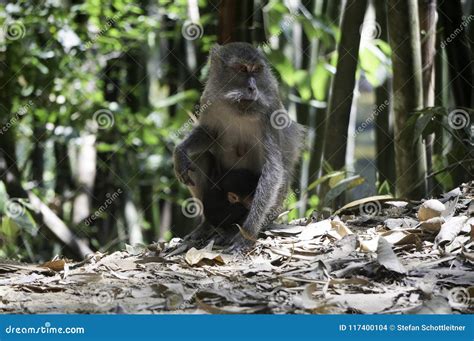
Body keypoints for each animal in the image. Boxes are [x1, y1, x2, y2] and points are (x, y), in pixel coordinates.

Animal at [173, 41, 304, 251]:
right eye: (242, 69)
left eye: (256, 70)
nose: (252, 88)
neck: (238, 109)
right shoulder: (209, 100)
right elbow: (208, 133)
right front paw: (180, 151)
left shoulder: (270, 111)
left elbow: (274, 169)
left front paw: (247, 234)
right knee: (198, 158)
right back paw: (207, 225)